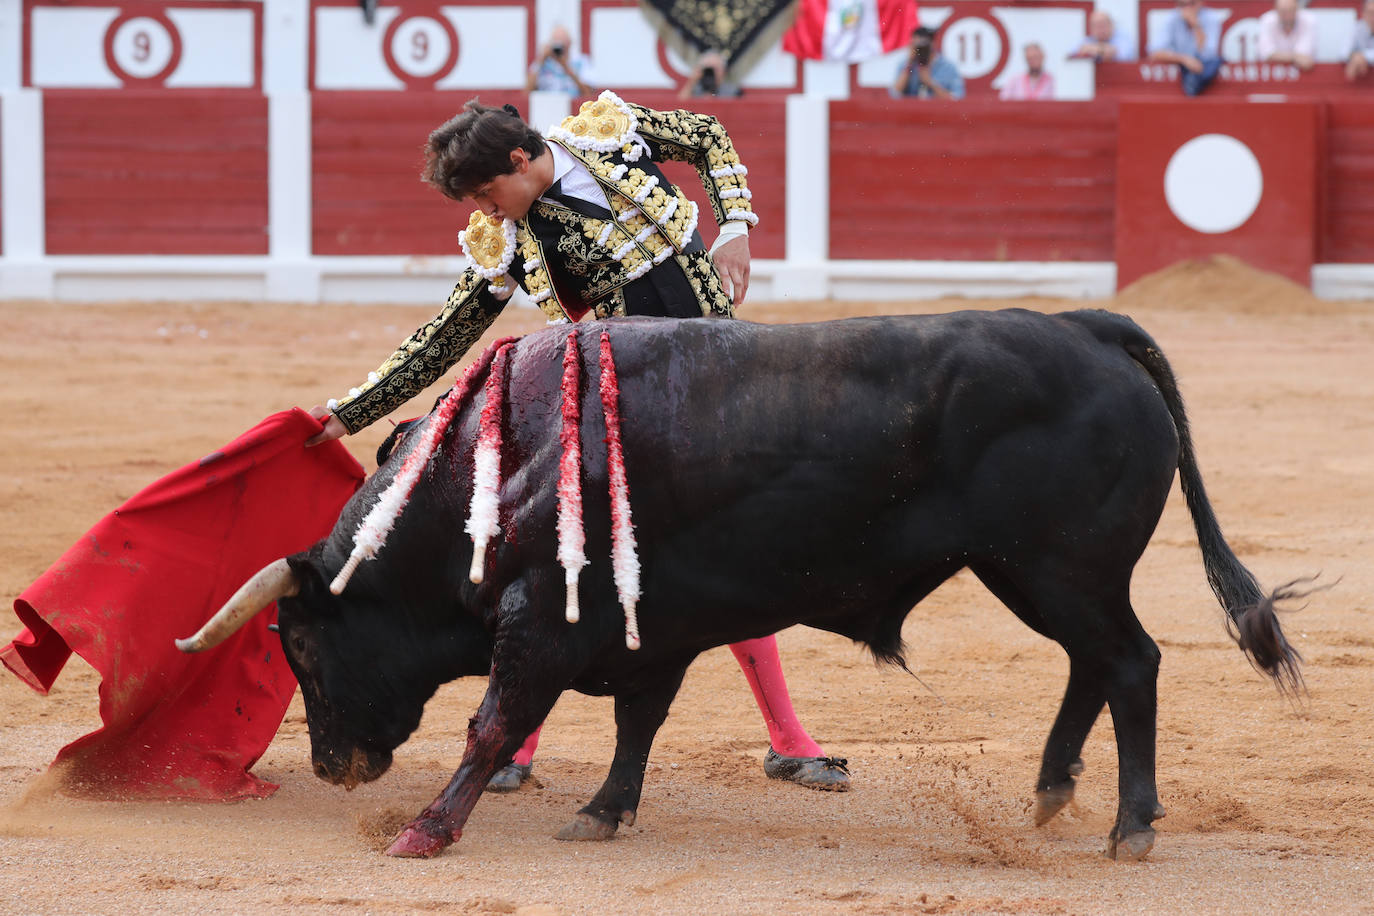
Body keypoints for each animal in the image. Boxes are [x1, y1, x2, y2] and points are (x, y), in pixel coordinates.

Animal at [177, 307, 1302, 862]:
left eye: (300, 645)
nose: (334, 767)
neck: (495, 465)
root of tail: (1086, 328)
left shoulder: (542, 619)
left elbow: (494, 721)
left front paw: (427, 830)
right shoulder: (651, 627)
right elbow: (636, 720)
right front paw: (602, 812)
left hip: (1057, 566)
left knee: (1131, 662)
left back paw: (1130, 826)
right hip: (1040, 570)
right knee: (1094, 663)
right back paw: (1053, 791)